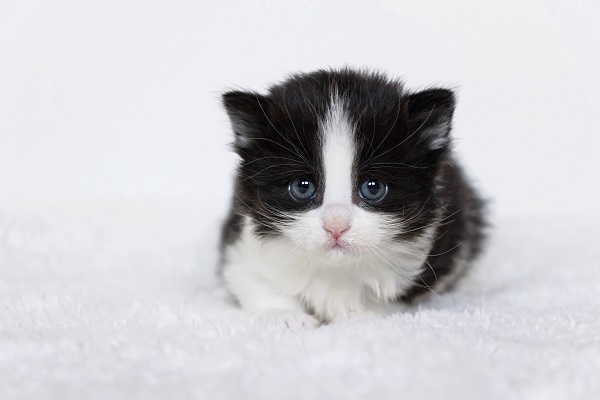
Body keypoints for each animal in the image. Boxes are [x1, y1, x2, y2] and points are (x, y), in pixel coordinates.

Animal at [218, 68, 486, 324]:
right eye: (303, 187)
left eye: (373, 188)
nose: (336, 226)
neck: (334, 271)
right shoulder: (239, 242)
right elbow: (250, 278)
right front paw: (282, 314)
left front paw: (362, 317)